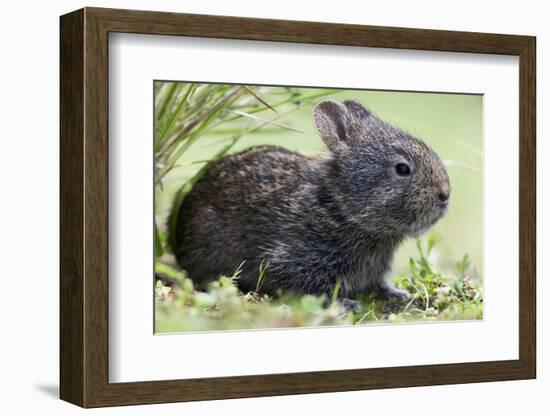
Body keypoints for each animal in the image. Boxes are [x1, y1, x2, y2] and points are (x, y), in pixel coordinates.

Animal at [174, 100, 452, 308]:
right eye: (402, 168)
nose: (445, 194)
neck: (340, 208)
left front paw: (397, 293)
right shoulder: (295, 260)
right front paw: (346, 304)